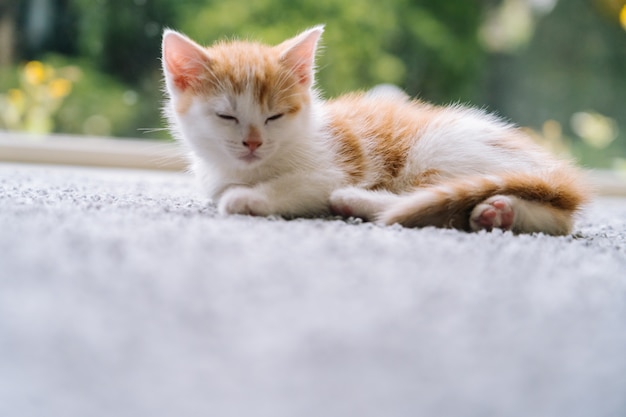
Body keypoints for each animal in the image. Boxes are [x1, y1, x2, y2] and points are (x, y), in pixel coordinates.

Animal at [160, 25, 584, 234]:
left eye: (274, 117)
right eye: (226, 116)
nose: (252, 142)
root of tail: (554, 169)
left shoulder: (332, 167)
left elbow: (297, 186)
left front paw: (248, 198)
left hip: (437, 151)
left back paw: (354, 200)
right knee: (559, 220)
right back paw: (497, 214)